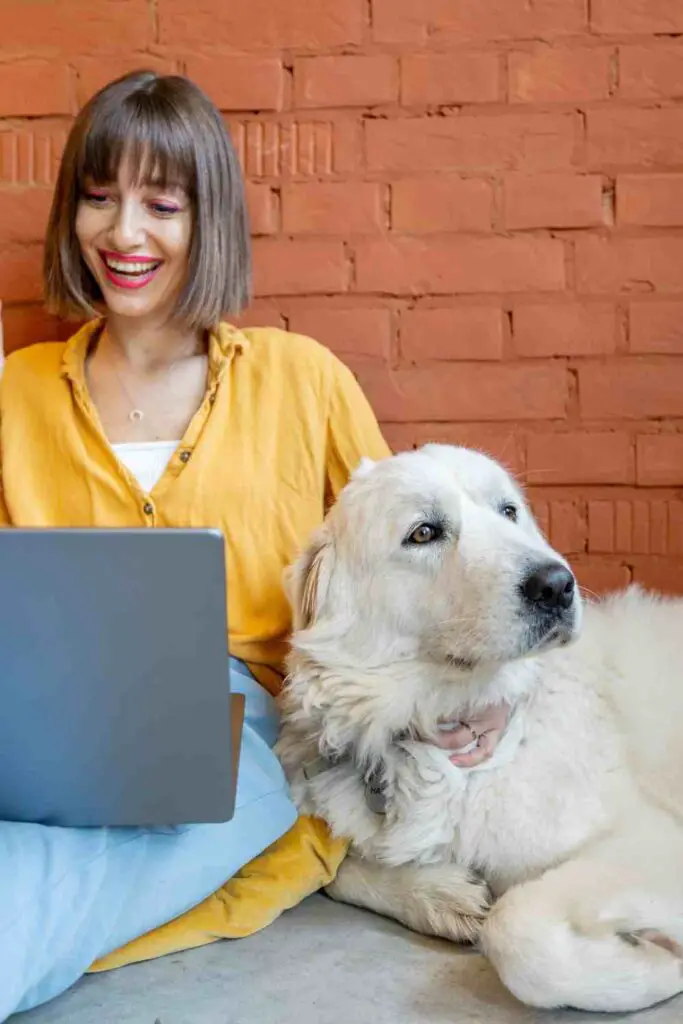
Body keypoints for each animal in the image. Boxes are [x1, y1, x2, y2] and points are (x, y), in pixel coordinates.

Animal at [274, 444, 683, 1011]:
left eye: (508, 511)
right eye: (423, 532)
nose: (557, 584)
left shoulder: (651, 837)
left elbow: (514, 930)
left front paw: (651, 969)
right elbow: (333, 873)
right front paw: (440, 894)